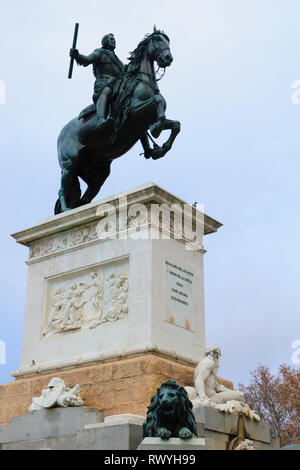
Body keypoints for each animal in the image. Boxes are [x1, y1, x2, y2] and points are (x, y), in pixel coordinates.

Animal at [54, 31, 180, 217]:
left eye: (167, 41)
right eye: (158, 39)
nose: (167, 58)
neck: (141, 81)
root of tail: (61, 135)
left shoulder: (147, 120)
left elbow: (175, 124)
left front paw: (161, 147)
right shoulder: (132, 114)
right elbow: (157, 102)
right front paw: (156, 131)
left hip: (98, 172)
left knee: (85, 198)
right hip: (69, 163)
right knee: (63, 188)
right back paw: (66, 210)